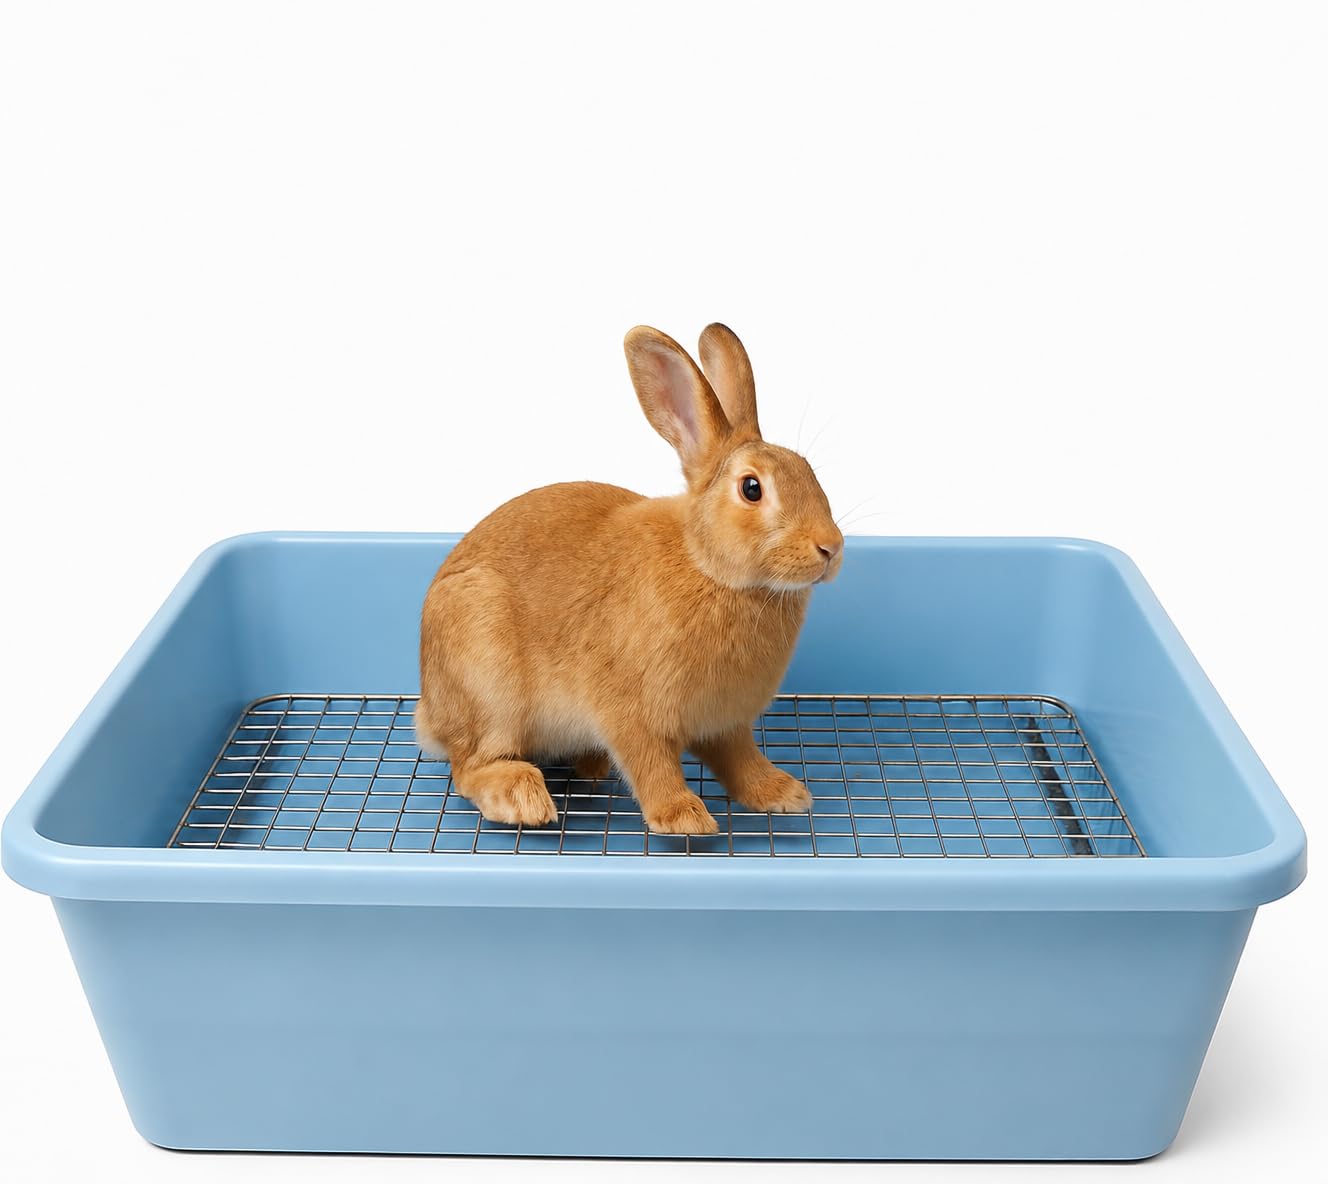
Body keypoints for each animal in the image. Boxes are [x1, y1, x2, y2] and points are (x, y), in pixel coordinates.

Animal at [417, 323, 843, 834]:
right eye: (751, 488)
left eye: (809, 471)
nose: (831, 547)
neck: (708, 566)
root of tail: (427, 707)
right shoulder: (632, 714)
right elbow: (651, 764)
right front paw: (684, 818)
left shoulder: (727, 724)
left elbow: (741, 760)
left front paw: (783, 793)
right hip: (489, 683)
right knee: (470, 766)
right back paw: (523, 799)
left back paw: (590, 765)